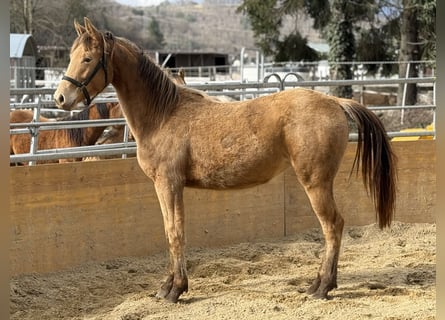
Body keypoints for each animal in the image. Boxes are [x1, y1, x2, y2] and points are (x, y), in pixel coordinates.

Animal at [53, 18, 398, 304]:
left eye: (87, 59)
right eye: (71, 56)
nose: (60, 98)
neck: (164, 113)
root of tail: (334, 101)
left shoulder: (169, 184)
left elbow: (175, 232)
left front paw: (175, 289)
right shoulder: (167, 187)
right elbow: (170, 231)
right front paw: (168, 286)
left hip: (316, 183)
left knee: (333, 226)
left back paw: (322, 287)